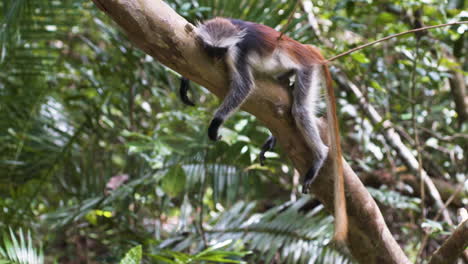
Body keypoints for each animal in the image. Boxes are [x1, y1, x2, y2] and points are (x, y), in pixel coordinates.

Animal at [190, 17, 348, 241]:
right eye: (211, 49)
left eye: (220, 51)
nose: (215, 58)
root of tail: (303, 48)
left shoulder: (236, 53)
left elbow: (244, 87)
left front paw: (215, 123)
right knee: (281, 89)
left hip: (306, 68)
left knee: (300, 111)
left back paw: (320, 155)